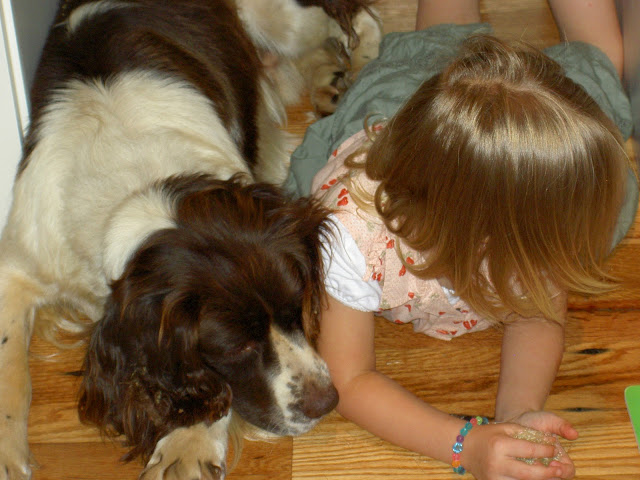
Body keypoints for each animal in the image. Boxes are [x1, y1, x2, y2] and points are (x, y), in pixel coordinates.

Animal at [0, 1, 382, 479]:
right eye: (236, 345)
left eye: (298, 308)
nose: (327, 402)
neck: (135, 190)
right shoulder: (22, 260)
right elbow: (10, 366)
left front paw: (186, 446)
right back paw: (329, 76)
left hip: (286, 21)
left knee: (357, 18)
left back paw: (363, 64)